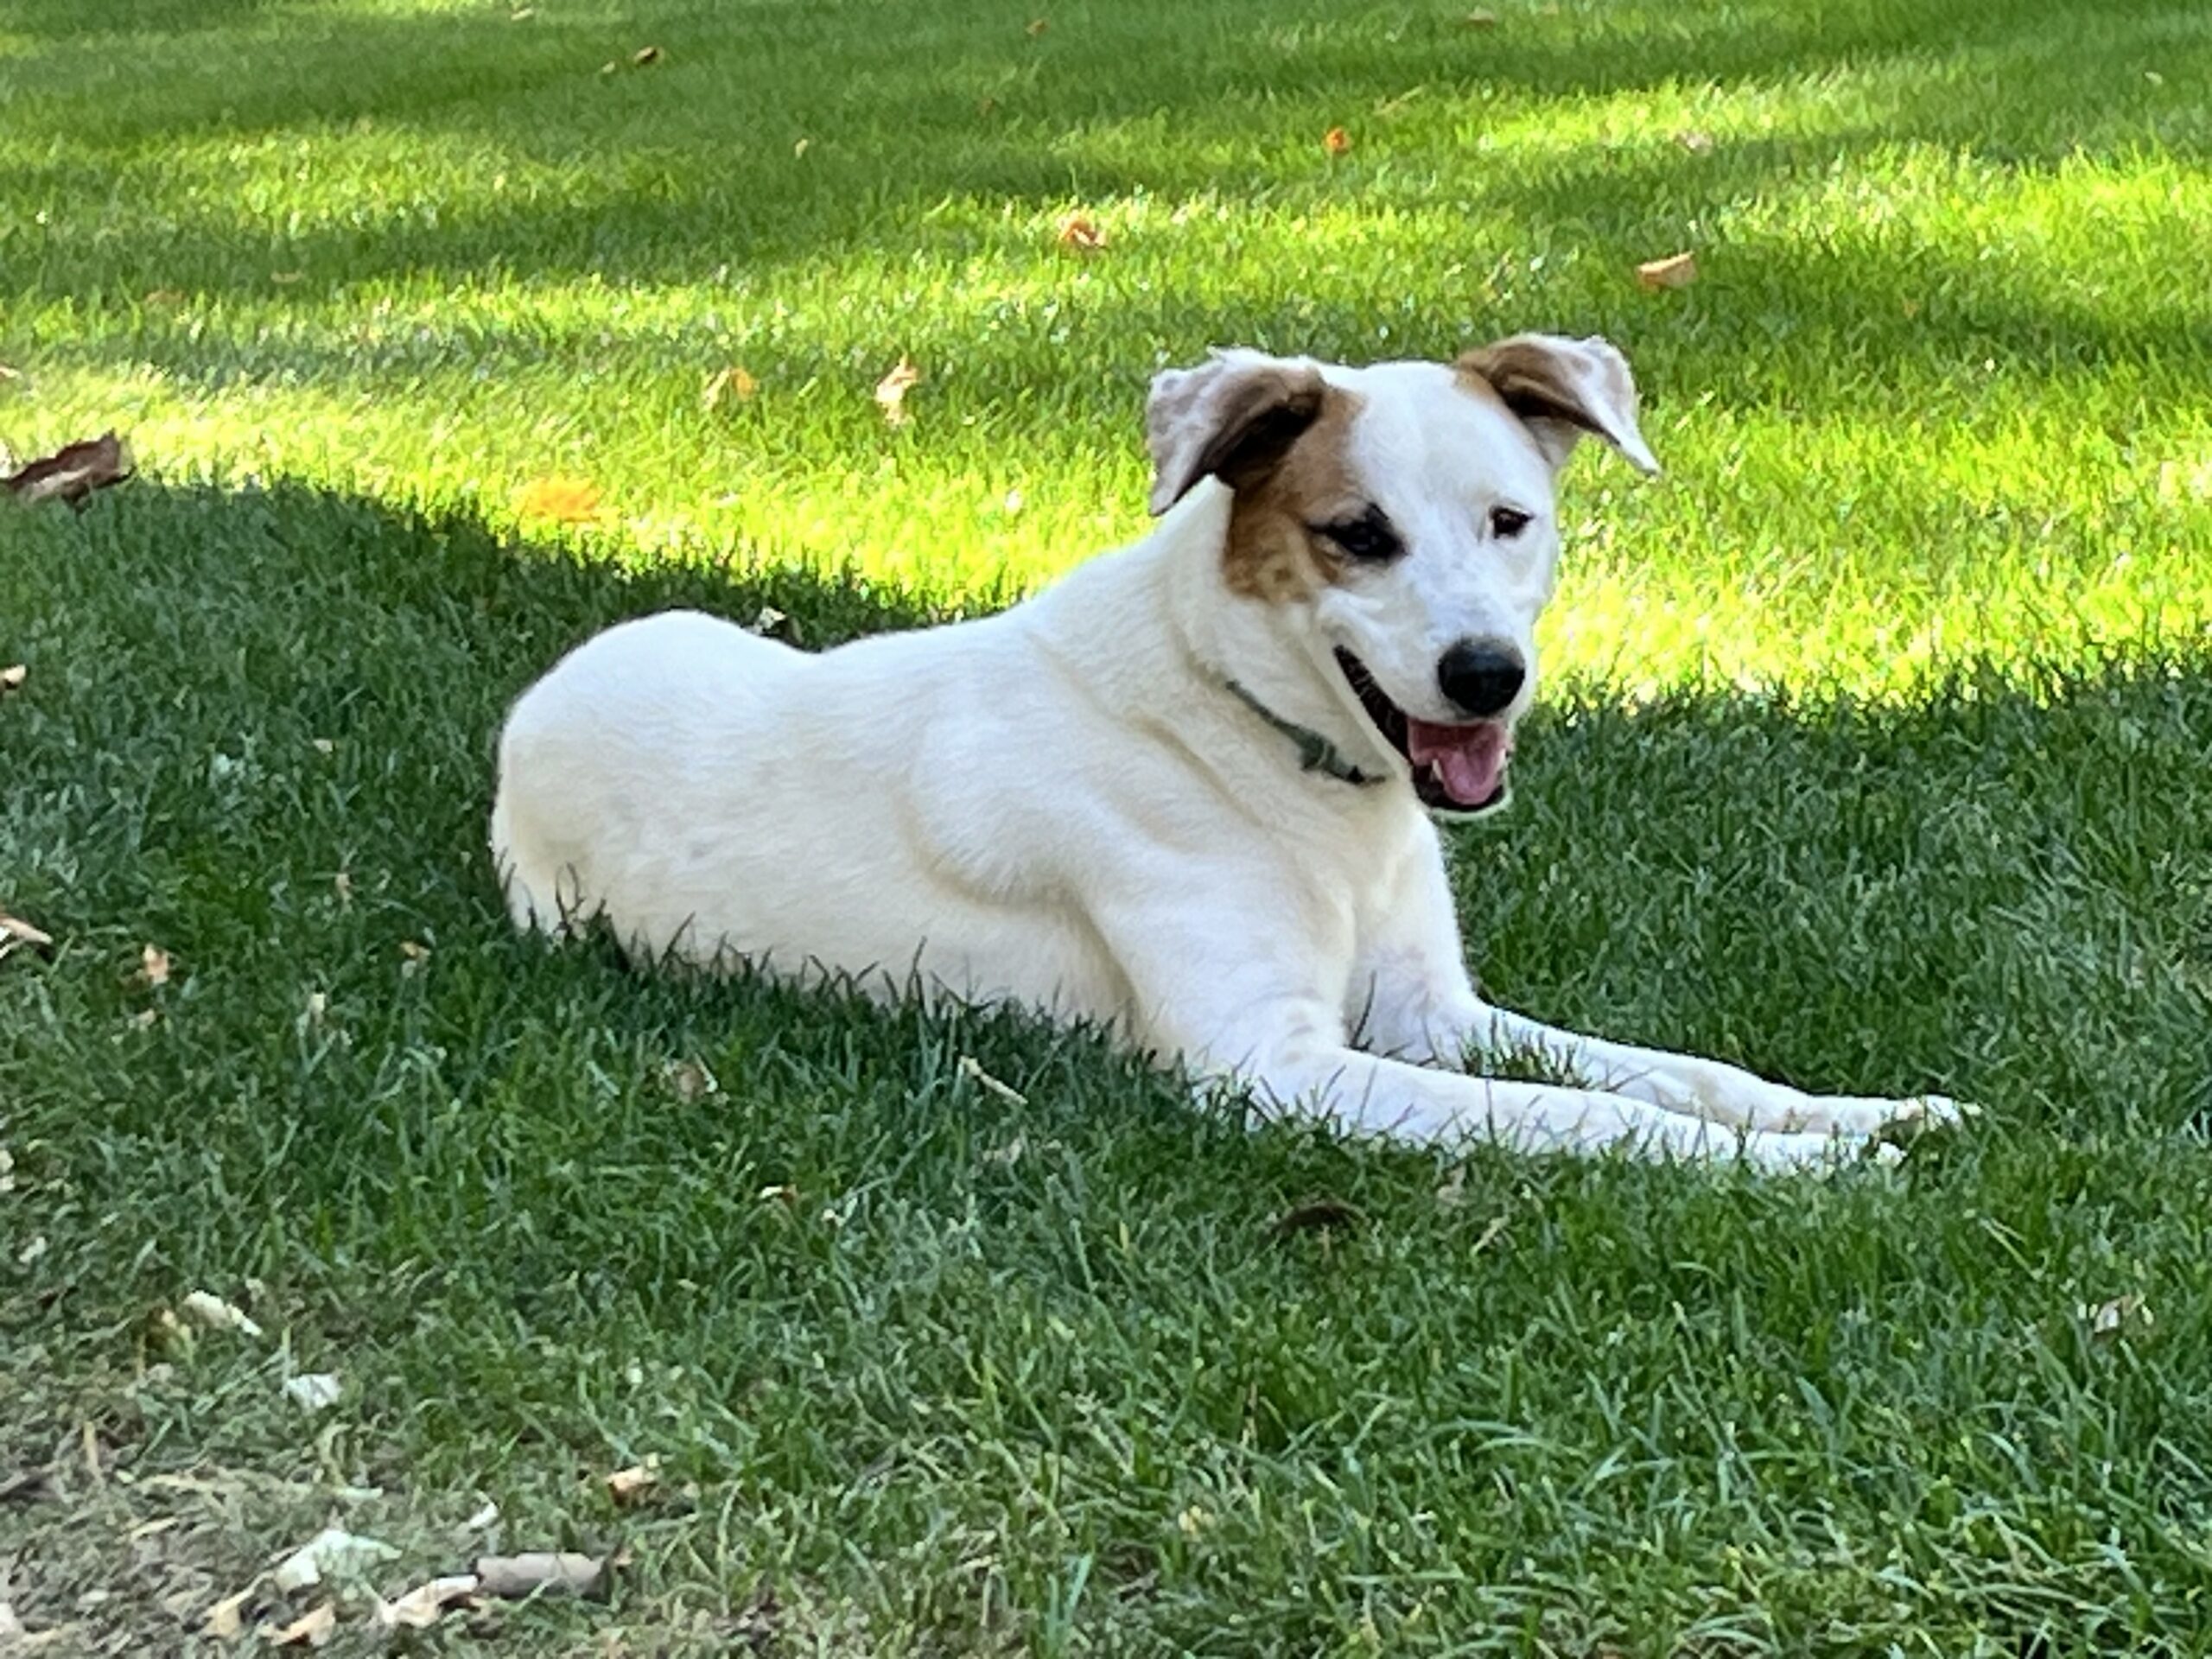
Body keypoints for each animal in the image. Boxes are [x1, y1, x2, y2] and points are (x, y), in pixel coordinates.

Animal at [498, 334, 1955, 1167]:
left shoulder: (1435, 1015)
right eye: (1357, 535)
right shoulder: (1274, 1071)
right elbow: (1588, 1116)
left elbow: (1681, 1071)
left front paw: (1858, 1116)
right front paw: (1802, 1170)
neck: (1263, 745)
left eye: (1511, 520)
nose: (1488, 677)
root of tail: (540, 702)